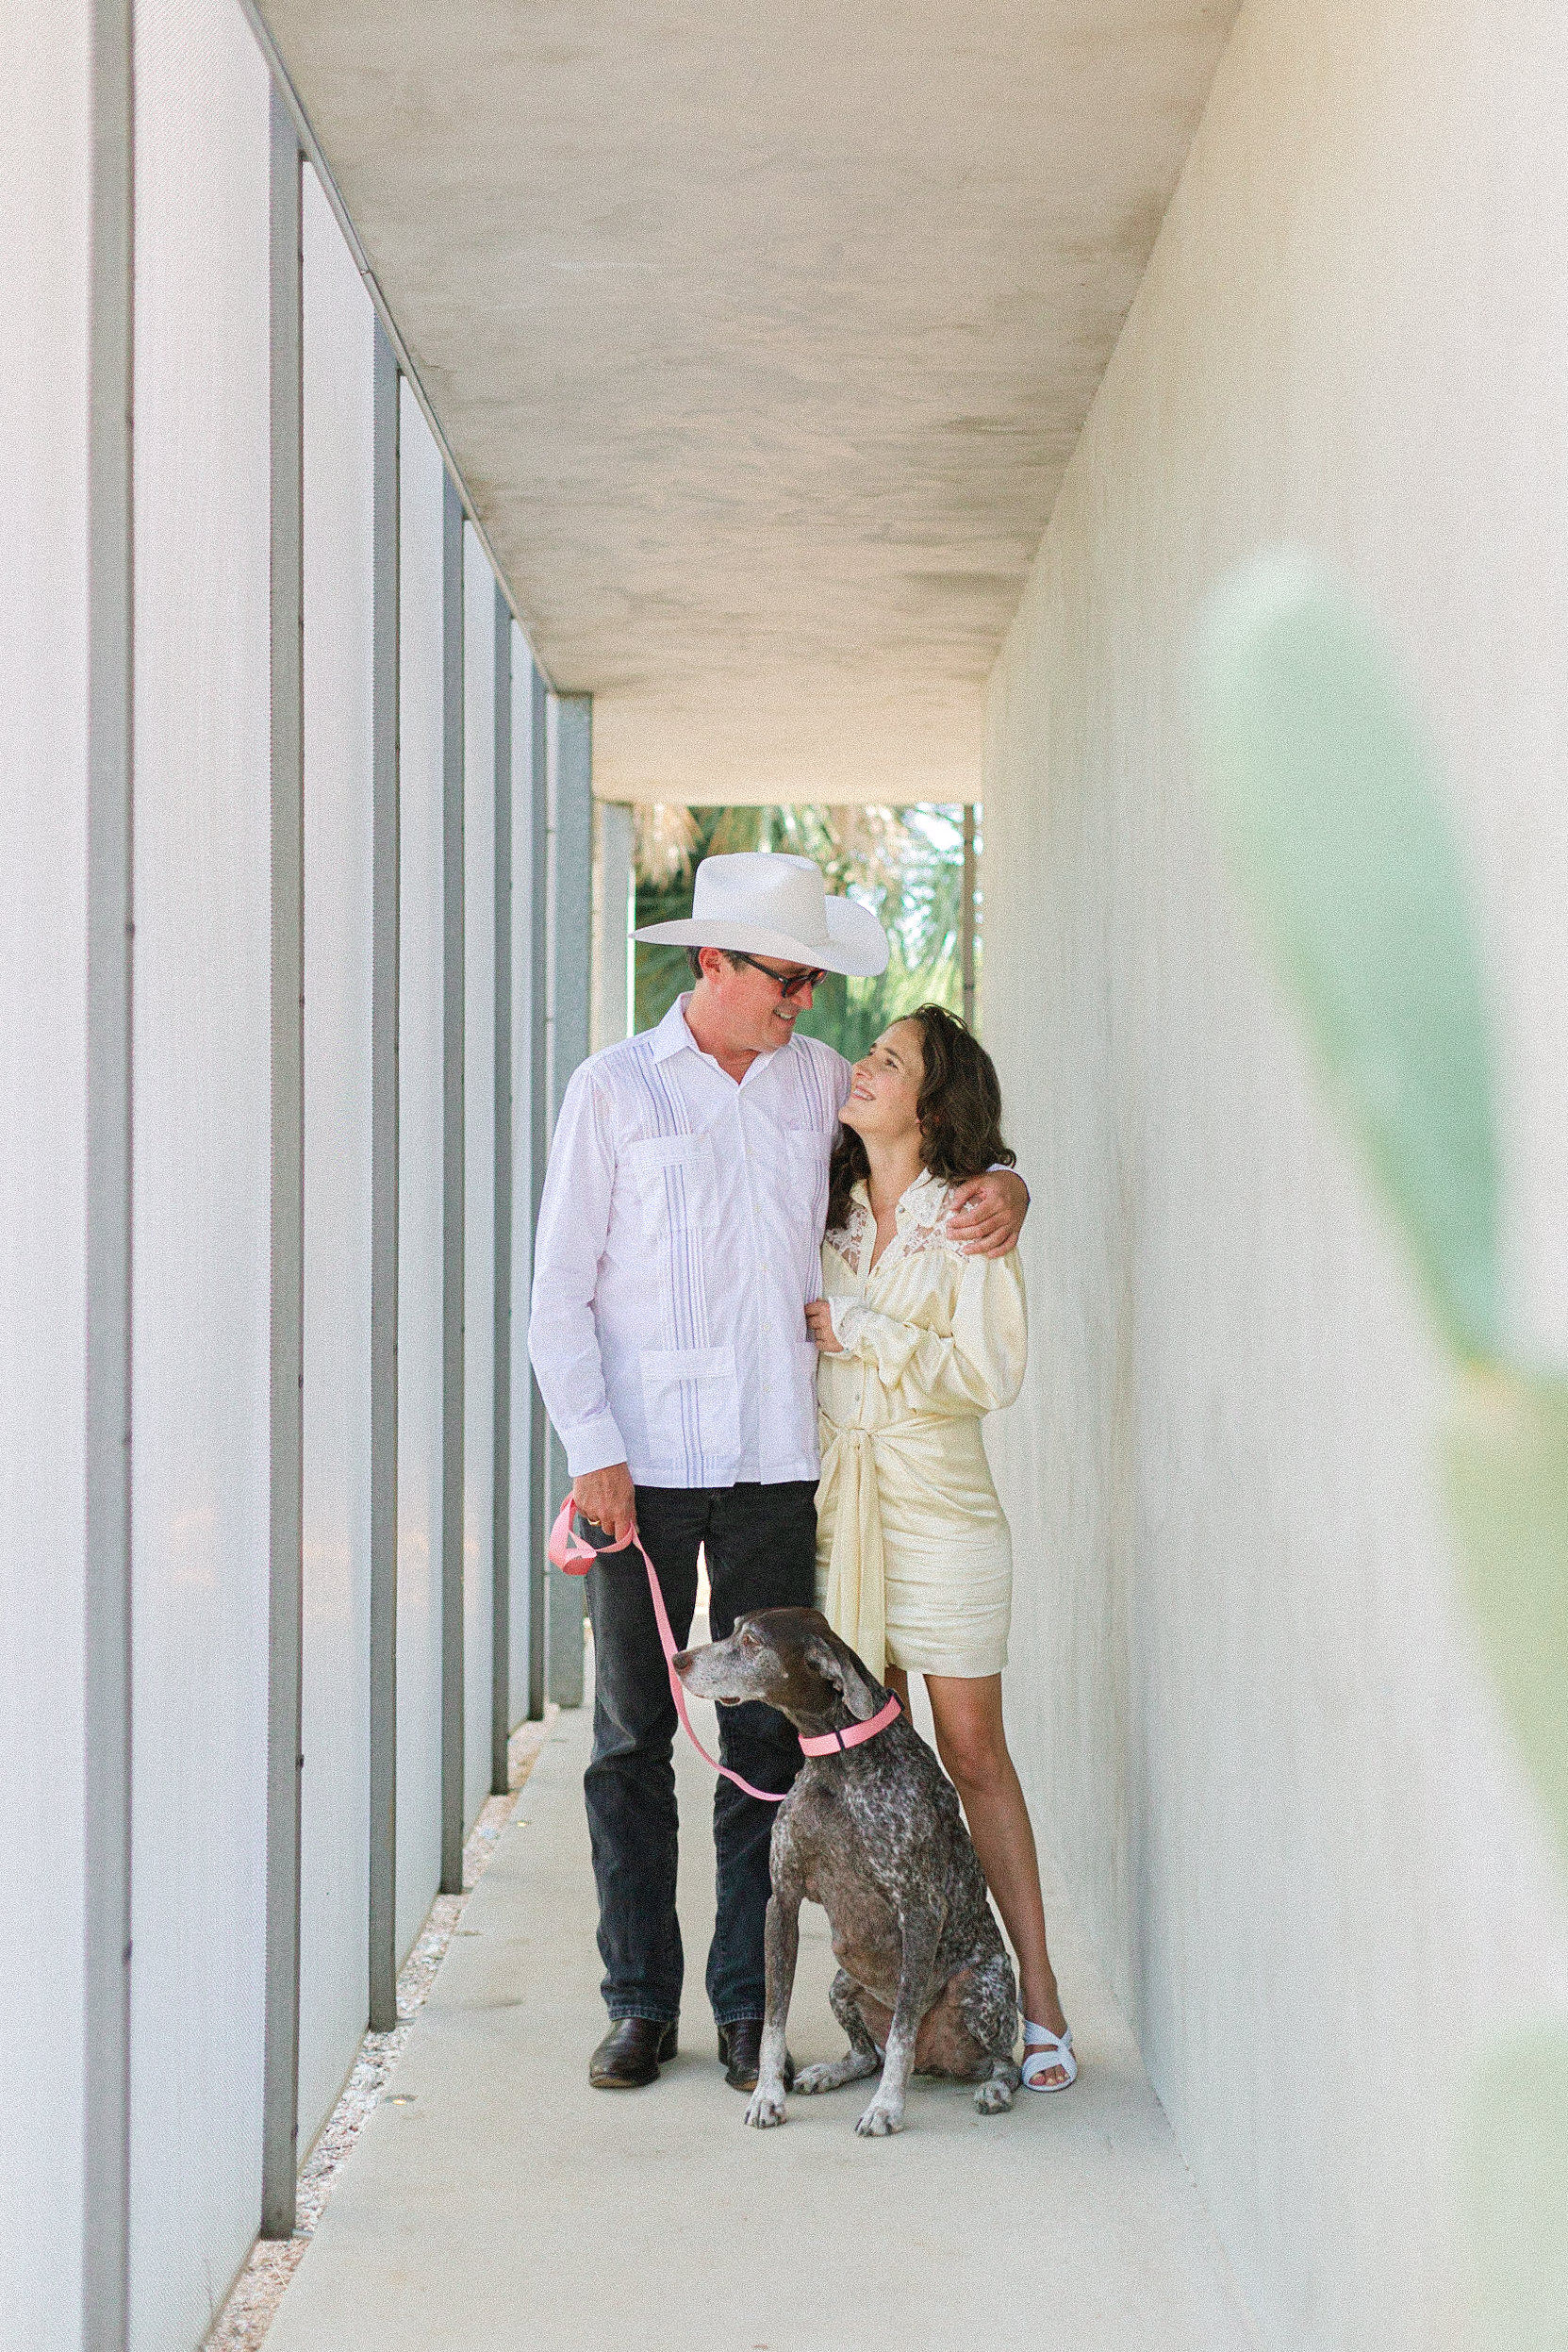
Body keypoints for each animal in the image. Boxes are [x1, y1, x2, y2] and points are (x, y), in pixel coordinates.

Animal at [672, 1617, 1020, 2135]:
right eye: (733, 1629)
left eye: (751, 1642)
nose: (678, 1659)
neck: (836, 1762)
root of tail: (938, 2062)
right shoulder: (782, 1903)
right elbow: (773, 2022)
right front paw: (766, 2096)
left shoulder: (920, 1912)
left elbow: (901, 2034)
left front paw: (886, 2107)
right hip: (842, 1982)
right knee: (867, 2054)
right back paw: (830, 2072)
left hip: (982, 1988)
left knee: (1001, 2063)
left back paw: (992, 2088)